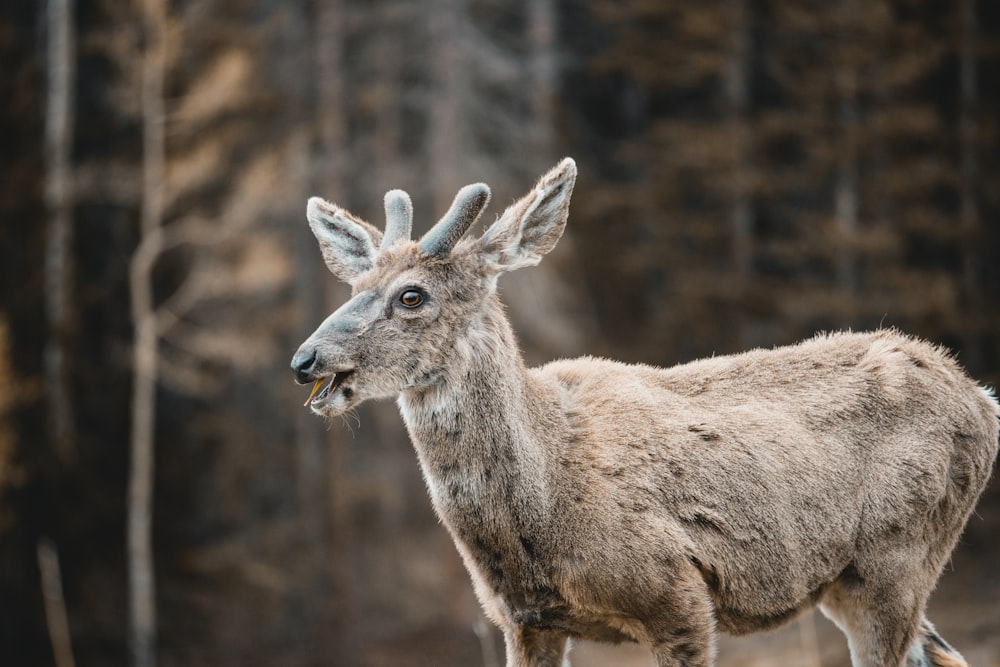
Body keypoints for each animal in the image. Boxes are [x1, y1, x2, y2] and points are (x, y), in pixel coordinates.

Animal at [292, 158, 1000, 667]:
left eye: (412, 295)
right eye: (353, 285)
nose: (306, 359)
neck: (545, 495)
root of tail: (982, 399)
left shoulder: (678, 598)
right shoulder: (525, 622)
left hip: (899, 558)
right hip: (852, 582)